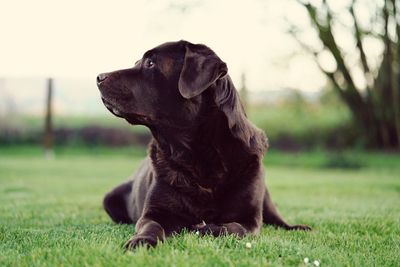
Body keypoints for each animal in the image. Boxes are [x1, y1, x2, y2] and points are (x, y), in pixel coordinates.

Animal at [96, 40, 310, 251]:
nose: (99, 77)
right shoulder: (154, 212)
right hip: (109, 198)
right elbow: (151, 225)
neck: (198, 155)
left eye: (150, 63)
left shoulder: (250, 219)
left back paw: (298, 227)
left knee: (277, 218)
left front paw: (206, 228)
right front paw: (142, 240)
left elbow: (234, 228)